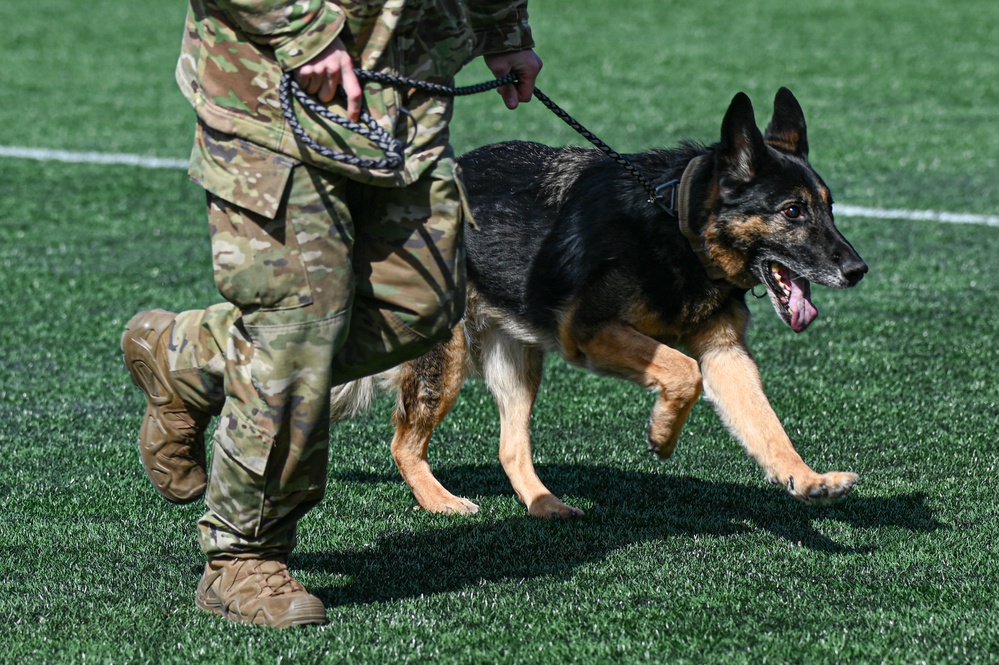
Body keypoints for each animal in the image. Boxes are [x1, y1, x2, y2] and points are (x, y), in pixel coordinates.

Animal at [334, 85, 868, 516]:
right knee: (403, 445)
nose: (858, 271)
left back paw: (546, 505)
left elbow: (766, 425)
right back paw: (441, 501)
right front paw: (663, 434)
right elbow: (682, 371)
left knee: (510, 447)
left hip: (519, 364)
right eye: (793, 211)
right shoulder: (590, 332)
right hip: (446, 360)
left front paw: (806, 478)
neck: (676, 224)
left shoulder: (725, 355)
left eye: (829, 207)